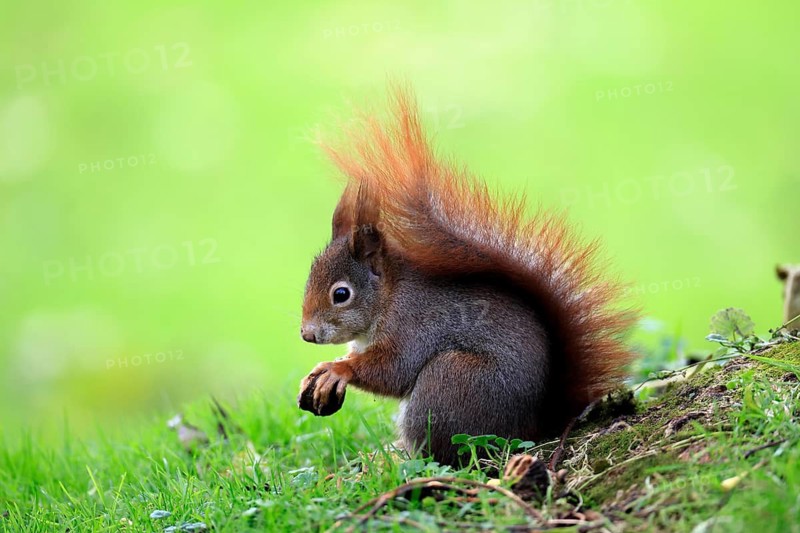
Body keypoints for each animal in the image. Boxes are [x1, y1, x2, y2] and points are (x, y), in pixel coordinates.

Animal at [297, 88, 638, 466]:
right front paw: (323, 369)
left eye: (341, 294)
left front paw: (336, 369)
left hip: (451, 380)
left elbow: (392, 370)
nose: (307, 334)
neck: (388, 297)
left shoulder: (413, 327)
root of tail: (536, 427)